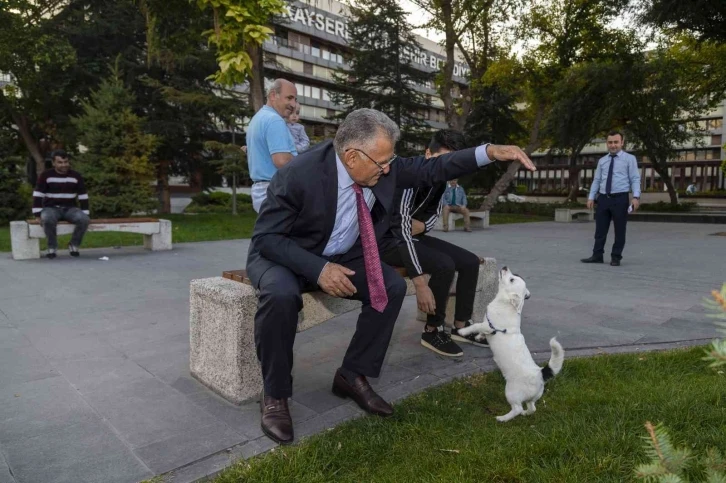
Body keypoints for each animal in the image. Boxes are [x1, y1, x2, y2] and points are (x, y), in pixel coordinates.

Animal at [458, 268, 564, 424]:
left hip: (511, 392)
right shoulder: (487, 327)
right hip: (532, 398)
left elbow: (475, 326)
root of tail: (539, 373)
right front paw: (478, 337)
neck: (505, 303)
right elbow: (481, 331)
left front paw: (463, 331)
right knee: (532, 408)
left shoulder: (488, 325)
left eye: (512, 279)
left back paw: (503, 418)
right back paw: (525, 413)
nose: (505, 267)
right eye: (515, 276)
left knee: (517, 409)